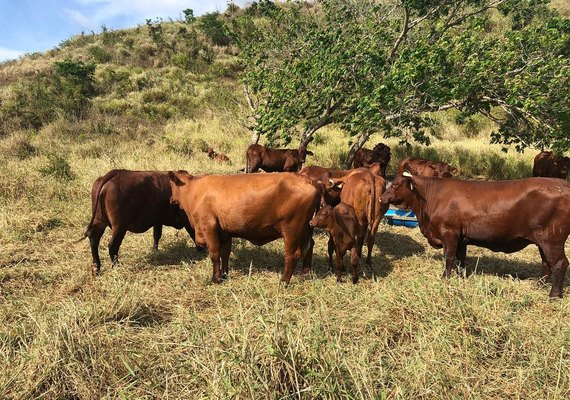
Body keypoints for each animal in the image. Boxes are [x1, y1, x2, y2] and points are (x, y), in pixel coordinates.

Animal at [168, 170, 320, 282]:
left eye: (171, 186)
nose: (170, 199)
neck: (195, 191)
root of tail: (304, 178)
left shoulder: (208, 227)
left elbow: (215, 254)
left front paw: (215, 278)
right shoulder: (225, 232)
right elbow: (225, 253)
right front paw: (224, 274)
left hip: (291, 230)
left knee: (292, 254)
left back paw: (284, 281)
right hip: (306, 230)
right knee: (309, 246)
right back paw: (305, 273)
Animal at [378, 173, 568, 298]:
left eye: (395, 185)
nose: (381, 198)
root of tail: (563, 184)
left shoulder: (449, 233)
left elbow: (449, 257)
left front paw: (445, 278)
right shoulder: (462, 239)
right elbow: (461, 258)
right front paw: (461, 277)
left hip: (551, 240)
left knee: (559, 263)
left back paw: (554, 294)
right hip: (543, 242)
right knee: (546, 263)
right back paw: (538, 285)